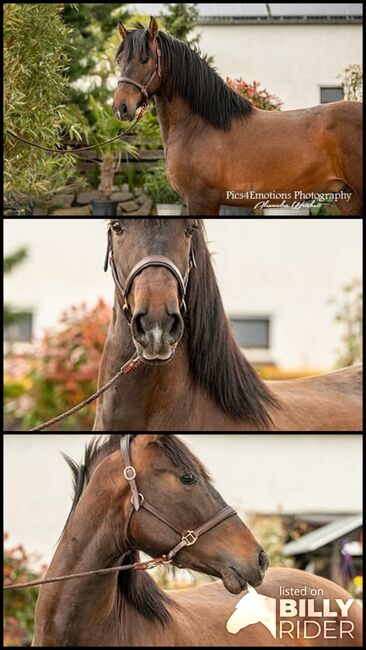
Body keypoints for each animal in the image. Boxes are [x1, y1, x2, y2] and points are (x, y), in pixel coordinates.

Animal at [112, 16, 364, 215]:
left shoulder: (201, 200)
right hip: (349, 198)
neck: (200, 127)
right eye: (119, 60)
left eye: (145, 59)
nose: (120, 107)